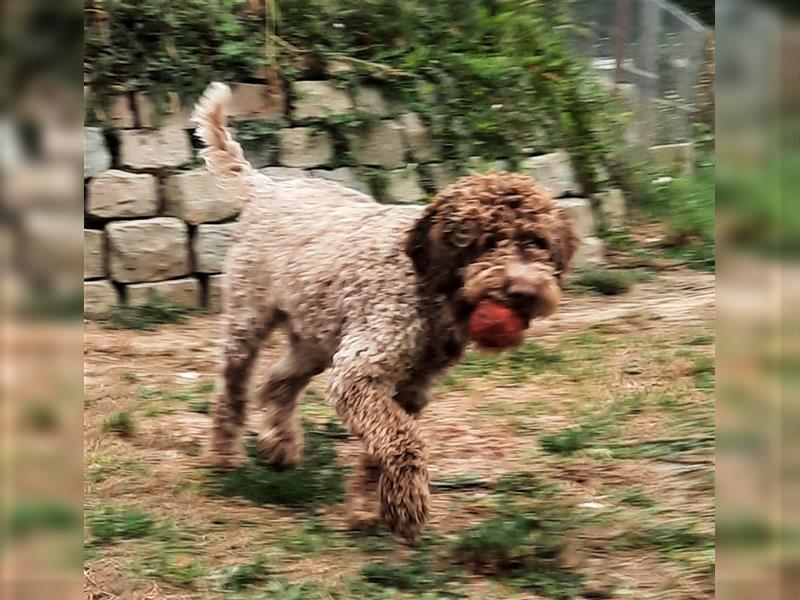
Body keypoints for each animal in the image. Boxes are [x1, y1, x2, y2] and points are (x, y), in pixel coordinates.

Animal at [195, 82, 580, 540]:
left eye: (537, 242)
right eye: (484, 242)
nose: (522, 291)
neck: (430, 292)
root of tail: (268, 187)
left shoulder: (410, 389)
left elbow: (381, 449)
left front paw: (370, 507)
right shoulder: (359, 375)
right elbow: (402, 441)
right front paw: (408, 507)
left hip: (316, 339)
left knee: (277, 382)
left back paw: (281, 444)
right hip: (249, 321)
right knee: (232, 387)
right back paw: (222, 454)